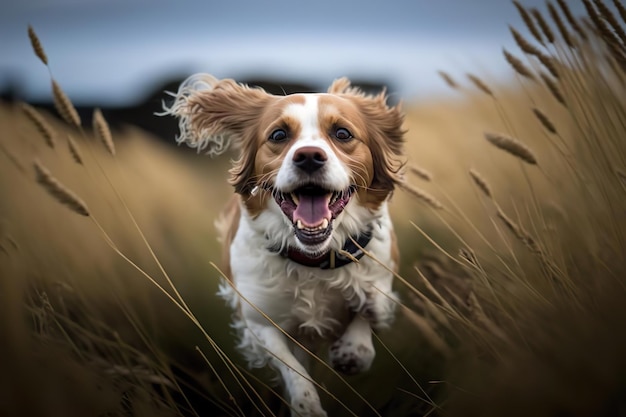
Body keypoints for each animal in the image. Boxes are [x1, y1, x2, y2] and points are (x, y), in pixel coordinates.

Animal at [162, 75, 404, 416]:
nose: (309, 156)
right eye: (278, 134)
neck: (314, 257)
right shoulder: (257, 317)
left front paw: (352, 349)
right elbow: (291, 367)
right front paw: (306, 405)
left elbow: (372, 307)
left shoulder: (381, 268)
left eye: (342, 133)